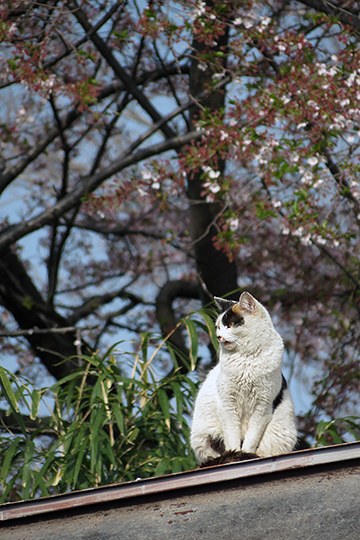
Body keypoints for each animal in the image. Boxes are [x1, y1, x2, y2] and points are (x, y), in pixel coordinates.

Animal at [190, 292, 296, 464]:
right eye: (217, 327)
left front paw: (245, 454)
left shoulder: (262, 407)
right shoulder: (227, 404)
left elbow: (251, 438)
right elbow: (232, 436)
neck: (247, 358)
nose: (218, 336)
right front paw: (235, 454)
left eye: (230, 325)